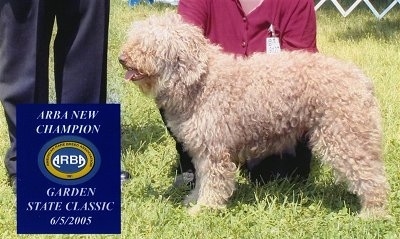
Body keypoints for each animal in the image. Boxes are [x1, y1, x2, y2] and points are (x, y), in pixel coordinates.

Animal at [119, 12, 388, 216]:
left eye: (149, 45)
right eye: (134, 38)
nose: (122, 58)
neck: (200, 82)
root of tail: (362, 79)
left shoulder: (214, 150)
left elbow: (214, 181)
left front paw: (205, 209)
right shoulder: (202, 149)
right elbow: (203, 177)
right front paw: (194, 199)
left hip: (345, 136)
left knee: (372, 176)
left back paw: (374, 213)